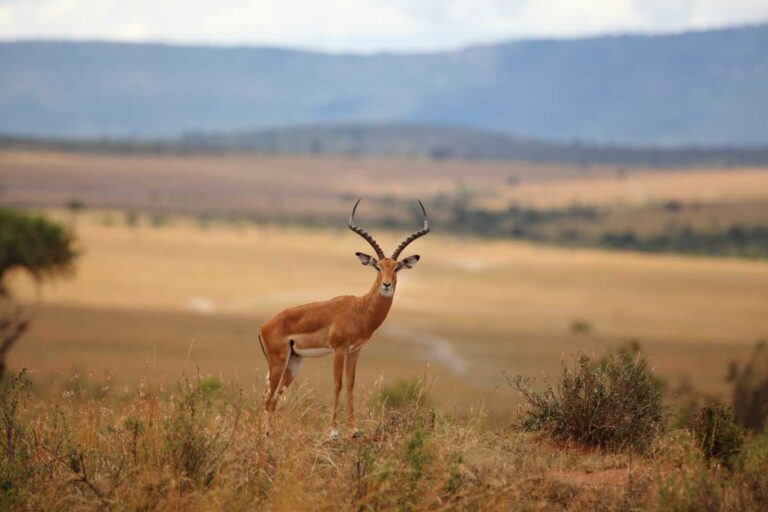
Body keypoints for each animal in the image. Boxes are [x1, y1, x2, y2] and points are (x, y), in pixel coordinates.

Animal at [256, 198, 426, 438]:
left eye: (396, 268)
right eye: (377, 266)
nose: (386, 285)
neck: (360, 309)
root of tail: (264, 326)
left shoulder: (355, 351)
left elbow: (350, 385)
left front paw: (354, 430)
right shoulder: (338, 349)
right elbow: (337, 384)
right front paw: (333, 432)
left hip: (293, 362)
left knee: (273, 396)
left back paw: (272, 434)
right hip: (278, 362)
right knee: (268, 397)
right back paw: (266, 435)